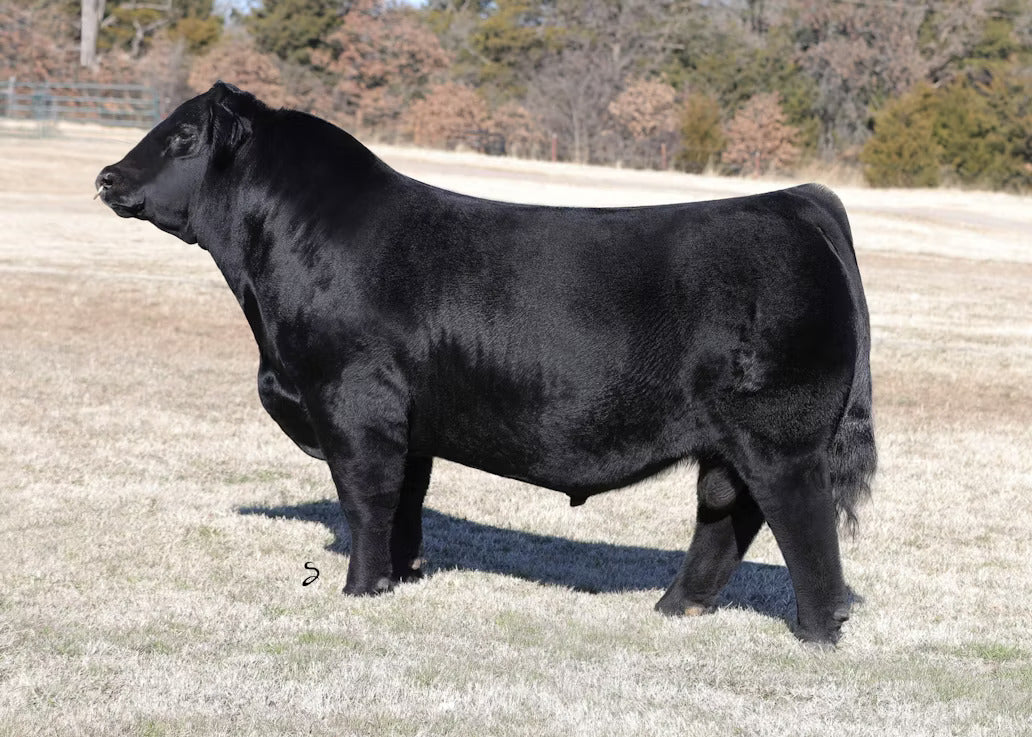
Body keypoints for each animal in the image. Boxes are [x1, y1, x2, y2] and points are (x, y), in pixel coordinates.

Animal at [96, 82, 876, 644]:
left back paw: (817, 630)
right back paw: (675, 608)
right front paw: (399, 578)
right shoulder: (407, 422)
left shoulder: (352, 401)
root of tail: (795, 200)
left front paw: (358, 588)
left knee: (802, 519)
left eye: (183, 136)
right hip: (731, 444)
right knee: (726, 514)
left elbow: (366, 498)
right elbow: (406, 503)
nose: (107, 176)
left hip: (781, 437)